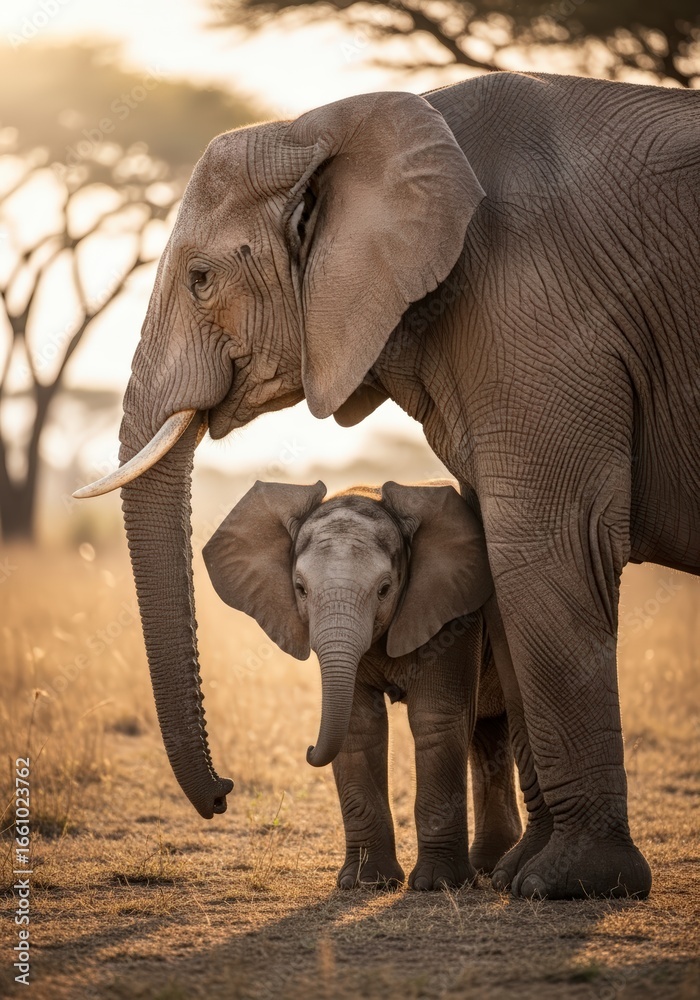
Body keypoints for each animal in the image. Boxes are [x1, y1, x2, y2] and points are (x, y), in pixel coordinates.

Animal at [202, 479, 522, 889]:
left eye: (384, 589)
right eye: (300, 589)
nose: (309, 749)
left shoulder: (454, 617)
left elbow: (435, 718)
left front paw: (436, 885)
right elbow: (360, 728)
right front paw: (366, 883)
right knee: (487, 733)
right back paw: (487, 865)